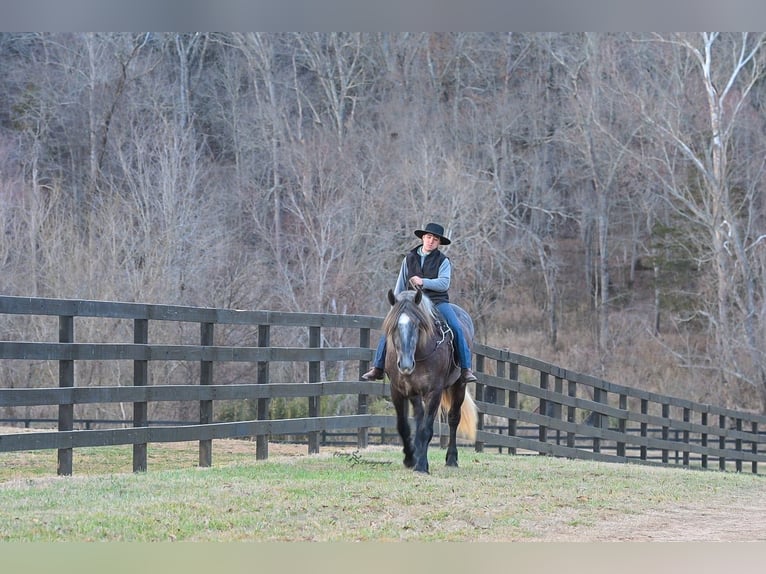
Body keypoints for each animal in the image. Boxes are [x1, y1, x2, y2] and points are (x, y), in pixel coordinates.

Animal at [381, 288, 478, 473]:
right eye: (393, 326)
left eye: (417, 325)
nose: (405, 364)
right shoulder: (399, 390)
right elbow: (404, 425)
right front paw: (410, 458)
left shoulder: (434, 392)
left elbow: (426, 429)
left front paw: (421, 466)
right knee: (419, 417)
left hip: (459, 386)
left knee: (453, 418)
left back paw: (451, 459)